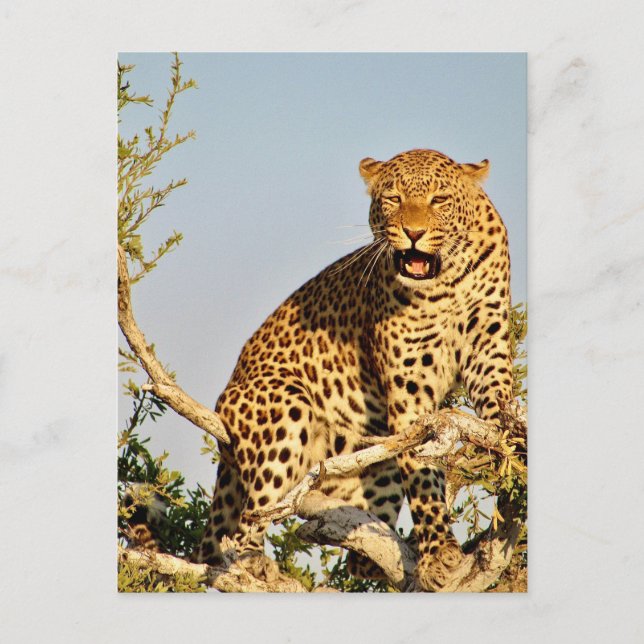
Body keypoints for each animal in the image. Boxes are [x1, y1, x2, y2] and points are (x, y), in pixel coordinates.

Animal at [193, 148, 513, 591]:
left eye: (439, 200)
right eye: (394, 198)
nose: (413, 233)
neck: (444, 282)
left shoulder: (488, 343)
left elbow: (499, 399)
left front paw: (510, 447)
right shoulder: (410, 385)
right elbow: (423, 476)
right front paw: (438, 553)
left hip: (375, 468)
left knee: (356, 555)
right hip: (284, 408)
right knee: (247, 521)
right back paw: (253, 563)